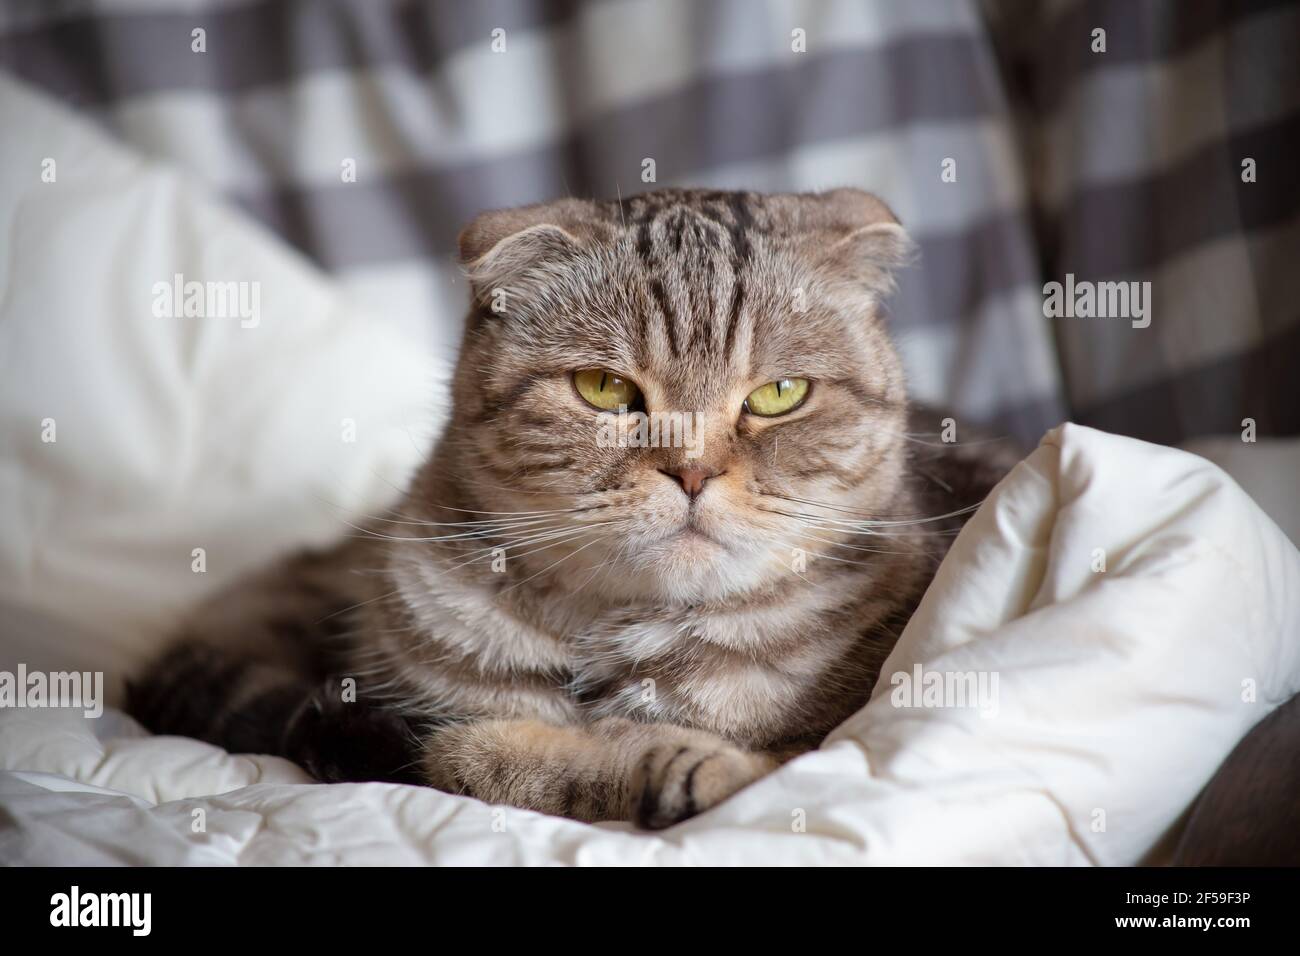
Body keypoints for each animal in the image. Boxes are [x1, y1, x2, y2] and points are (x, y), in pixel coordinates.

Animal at [126, 188, 1019, 832]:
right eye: (604, 389)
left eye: (779, 394)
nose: (692, 471)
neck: (624, 647)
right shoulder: (410, 708)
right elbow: (489, 753)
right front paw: (654, 763)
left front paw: (692, 763)